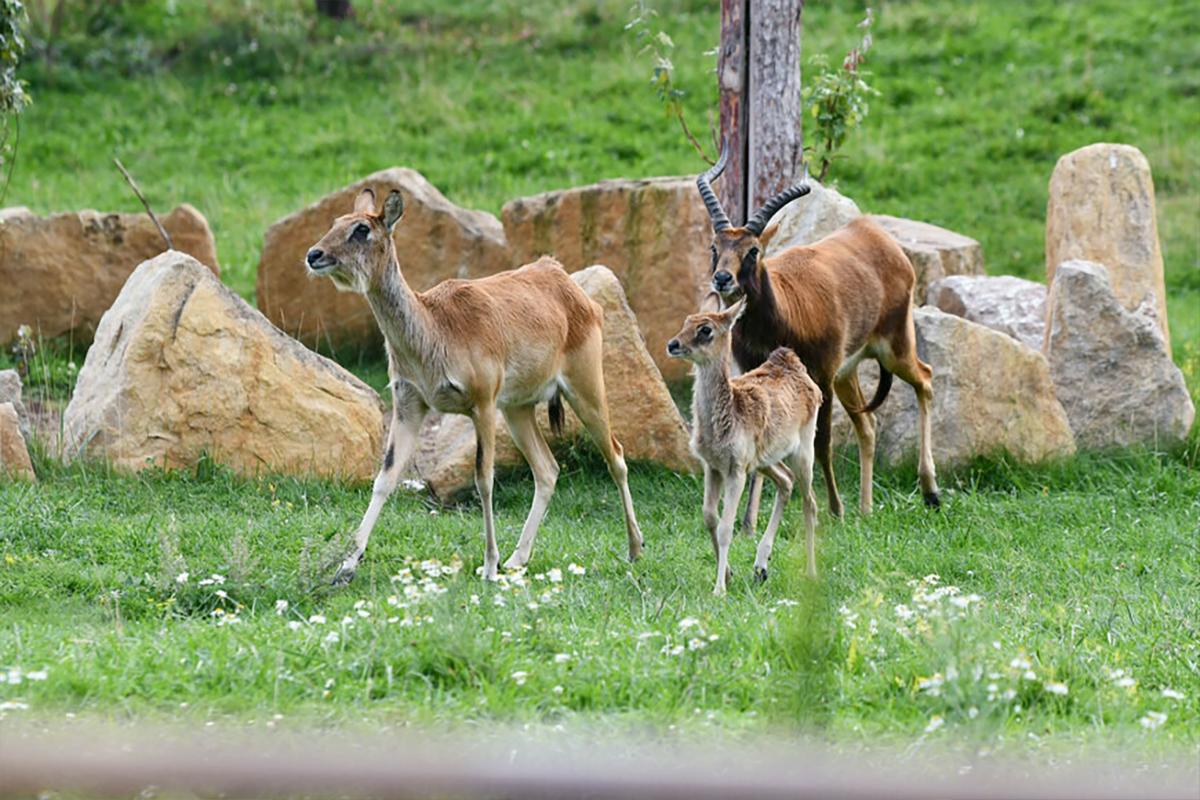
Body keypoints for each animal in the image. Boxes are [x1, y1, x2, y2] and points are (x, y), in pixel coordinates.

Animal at [309, 190, 643, 585]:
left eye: (361, 228)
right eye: (334, 222)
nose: (314, 254)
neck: (434, 336)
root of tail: (576, 291)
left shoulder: (482, 400)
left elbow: (484, 478)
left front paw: (488, 565)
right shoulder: (409, 403)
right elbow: (385, 475)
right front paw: (344, 567)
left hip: (585, 384)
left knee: (616, 455)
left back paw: (634, 549)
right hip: (517, 407)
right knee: (548, 468)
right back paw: (518, 558)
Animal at [667, 299, 825, 594]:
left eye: (705, 329)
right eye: (686, 321)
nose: (672, 344)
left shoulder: (736, 468)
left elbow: (726, 527)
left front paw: (719, 589)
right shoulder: (712, 466)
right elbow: (709, 516)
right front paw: (728, 574)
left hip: (804, 447)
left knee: (810, 502)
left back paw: (810, 572)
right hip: (765, 459)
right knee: (786, 481)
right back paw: (761, 567)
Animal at [700, 145, 940, 525]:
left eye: (752, 250)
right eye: (715, 247)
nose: (723, 279)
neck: (784, 316)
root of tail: (878, 237)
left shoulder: (821, 377)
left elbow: (821, 443)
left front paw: (833, 510)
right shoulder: (756, 374)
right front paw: (748, 523)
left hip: (893, 350)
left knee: (926, 379)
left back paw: (931, 493)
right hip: (848, 373)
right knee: (868, 423)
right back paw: (866, 509)